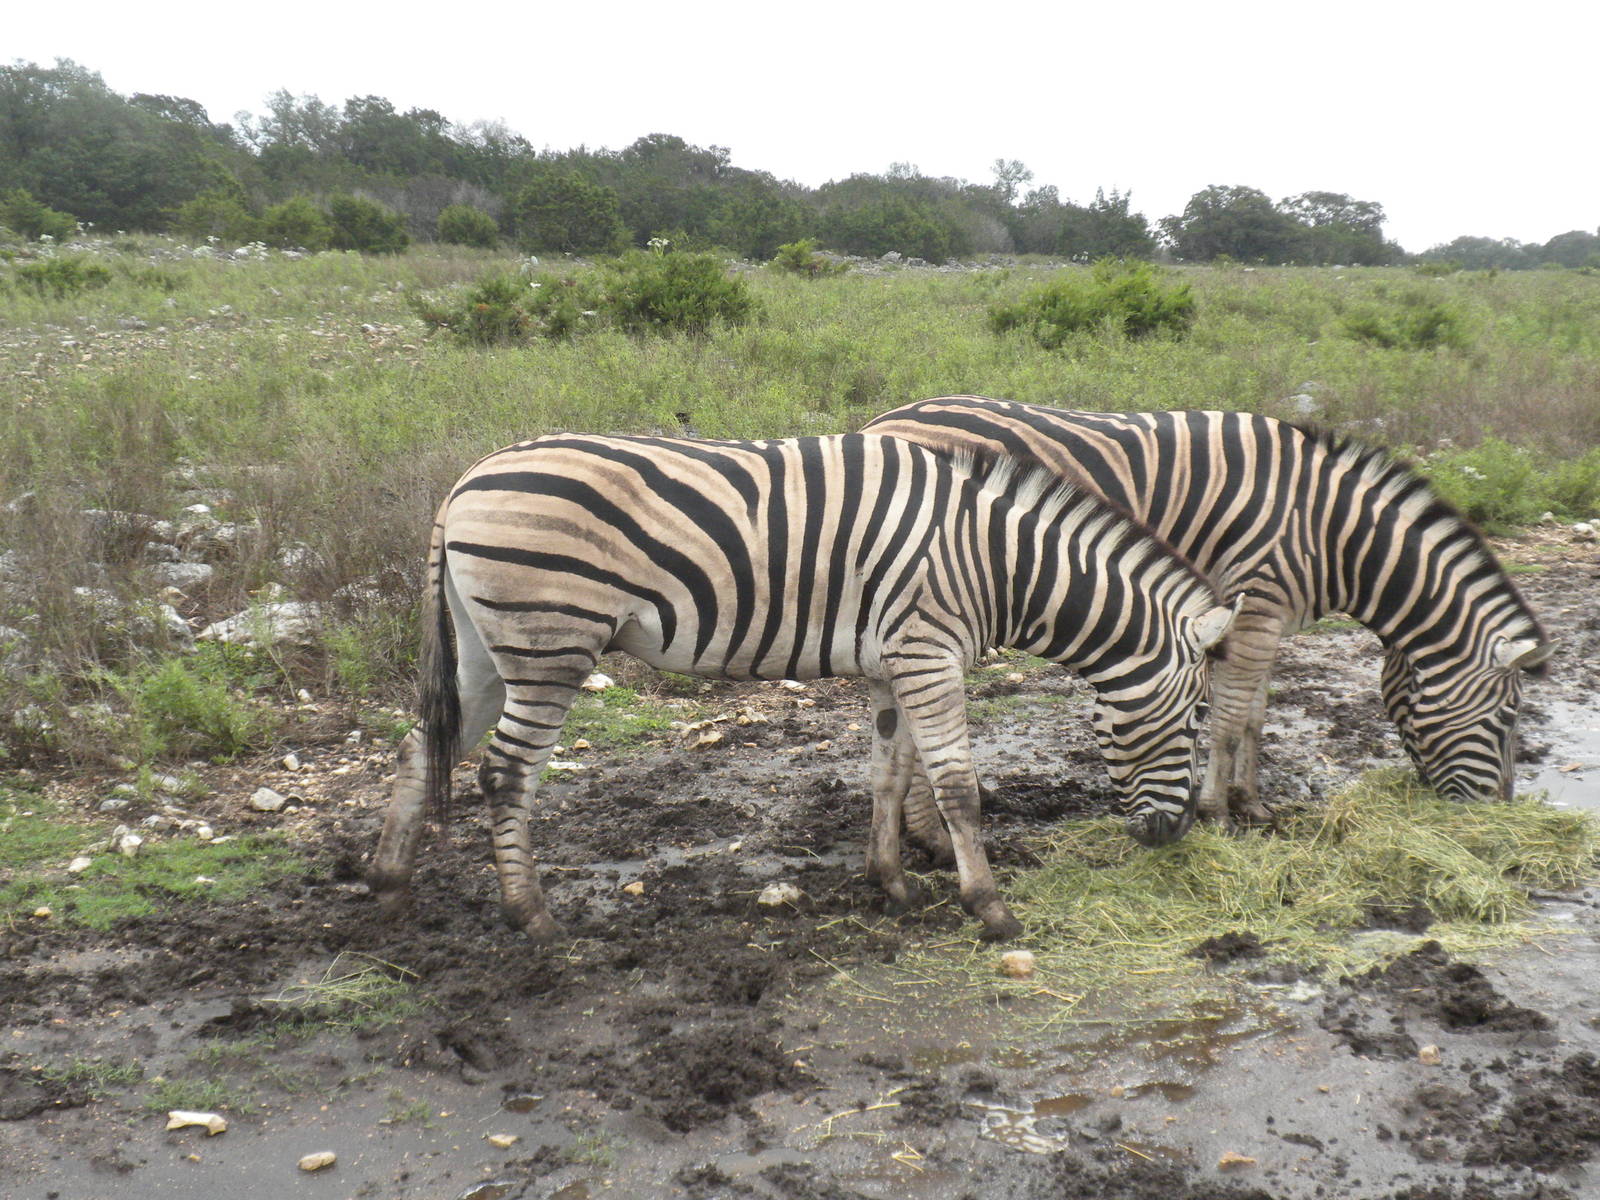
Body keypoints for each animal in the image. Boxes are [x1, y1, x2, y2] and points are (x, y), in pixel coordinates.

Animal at [368, 432, 1236, 943]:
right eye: (1196, 715)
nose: (1176, 837)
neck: (1000, 562)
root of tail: (467, 481)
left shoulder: (895, 662)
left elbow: (889, 776)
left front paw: (890, 883)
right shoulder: (929, 651)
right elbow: (957, 786)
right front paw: (989, 908)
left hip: (485, 646)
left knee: (421, 749)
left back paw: (391, 887)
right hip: (551, 641)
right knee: (504, 772)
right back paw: (533, 916)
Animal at [862, 397, 1551, 842]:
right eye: (1510, 717)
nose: (1497, 813)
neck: (1335, 534)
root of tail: (881, 419)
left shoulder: (1266, 621)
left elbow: (1254, 717)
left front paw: (1253, 805)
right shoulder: (1256, 605)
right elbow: (1226, 721)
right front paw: (1221, 811)